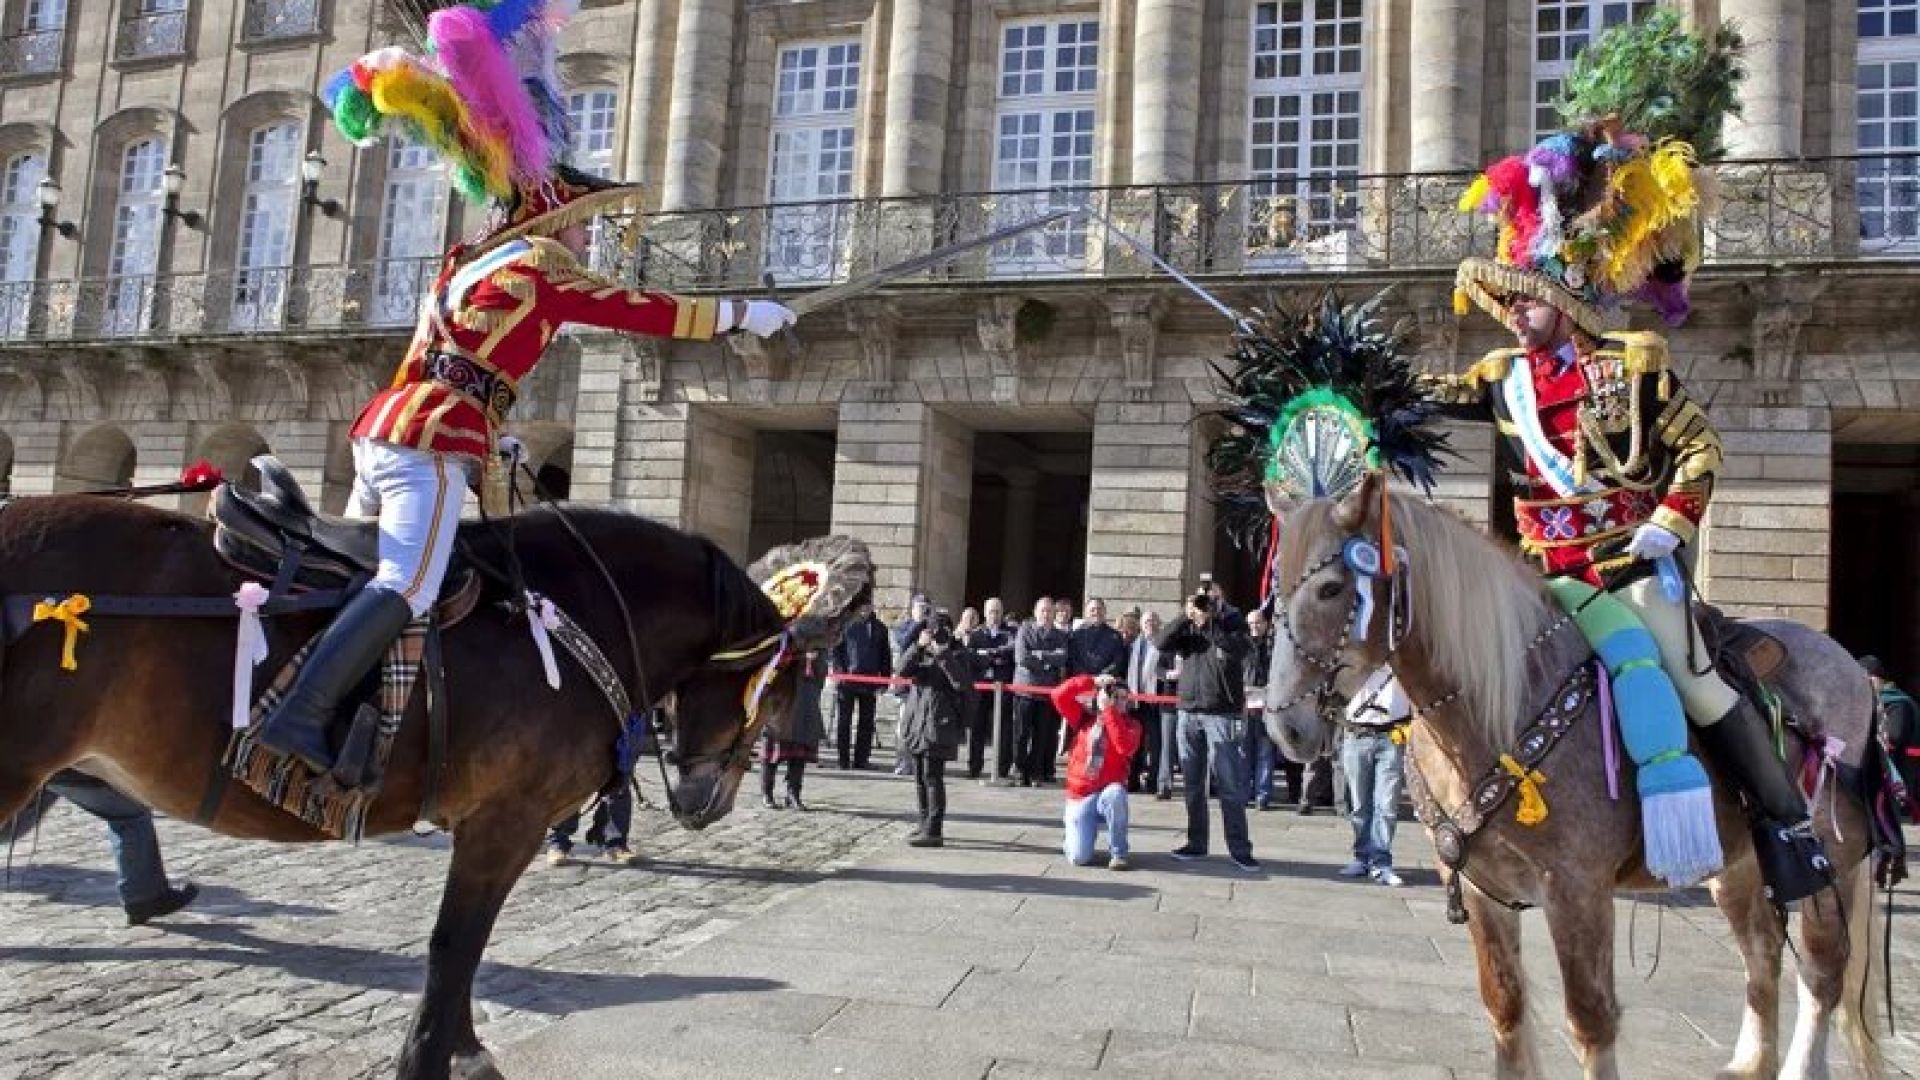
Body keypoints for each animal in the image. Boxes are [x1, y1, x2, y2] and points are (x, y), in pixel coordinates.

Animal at [0, 491, 864, 1076]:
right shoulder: (505, 822)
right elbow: (456, 945)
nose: (701, 802)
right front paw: (431, 1057)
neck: (566, 610)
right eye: (785, 687)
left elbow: (467, 953)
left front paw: (465, 1051)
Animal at [1267, 476, 1881, 1076]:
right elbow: (1505, 1010)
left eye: (1330, 589)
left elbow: (1591, 1020)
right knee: (1762, 953)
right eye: (1274, 590)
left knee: (1822, 972)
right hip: (1736, 865)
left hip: (1831, 860)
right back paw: (1751, 1062)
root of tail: (1850, 664)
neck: (1500, 705)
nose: (1284, 726)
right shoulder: (1483, 889)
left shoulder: (1577, 890)